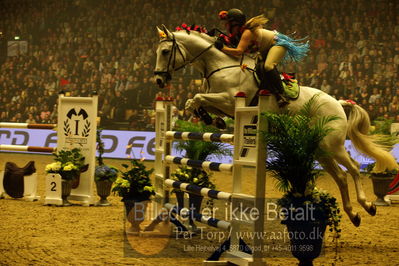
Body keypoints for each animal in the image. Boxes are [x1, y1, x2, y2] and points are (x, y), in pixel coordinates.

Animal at [154, 25, 399, 227]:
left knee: (354, 168)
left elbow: (196, 97)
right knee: (339, 176)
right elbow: (193, 102)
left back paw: (367, 206)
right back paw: (353, 215)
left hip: (332, 145)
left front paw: (211, 119)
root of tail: (338, 103)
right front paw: (213, 120)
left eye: (165, 52)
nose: (158, 80)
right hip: (320, 150)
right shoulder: (220, 102)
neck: (220, 65)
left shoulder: (231, 99)